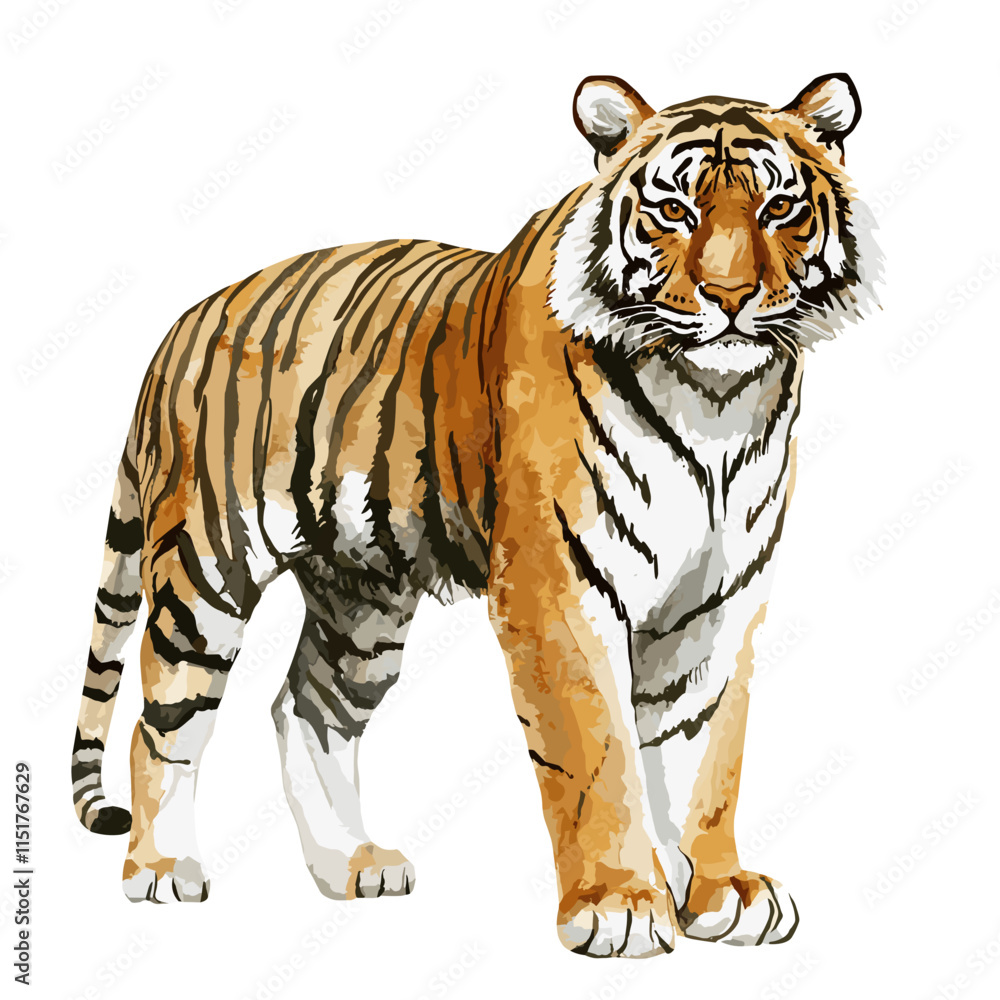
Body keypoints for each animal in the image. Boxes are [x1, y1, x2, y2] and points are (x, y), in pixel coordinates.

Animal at [72, 71, 880, 957]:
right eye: (674, 210)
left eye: (778, 208)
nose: (730, 297)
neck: (715, 401)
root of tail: (180, 327)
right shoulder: (557, 587)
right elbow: (597, 750)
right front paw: (621, 905)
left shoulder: (720, 598)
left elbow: (705, 759)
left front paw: (719, 893)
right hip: (204, 572)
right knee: (160, 724)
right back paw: (161, 868)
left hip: (362, 601)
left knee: (306, 706)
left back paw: (351, 864)